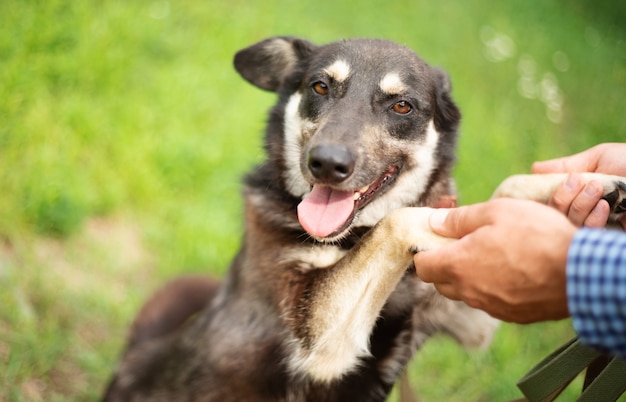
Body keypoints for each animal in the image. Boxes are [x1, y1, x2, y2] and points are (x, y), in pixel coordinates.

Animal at [103, 36, 624, 400]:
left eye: (401, 105)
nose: (326, 163)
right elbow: (405, 219)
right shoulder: (315, 335)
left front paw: (592, 184)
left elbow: (506, 189)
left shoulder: (469, 320)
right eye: (319, 86)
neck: (350, 236)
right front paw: (448, 232)